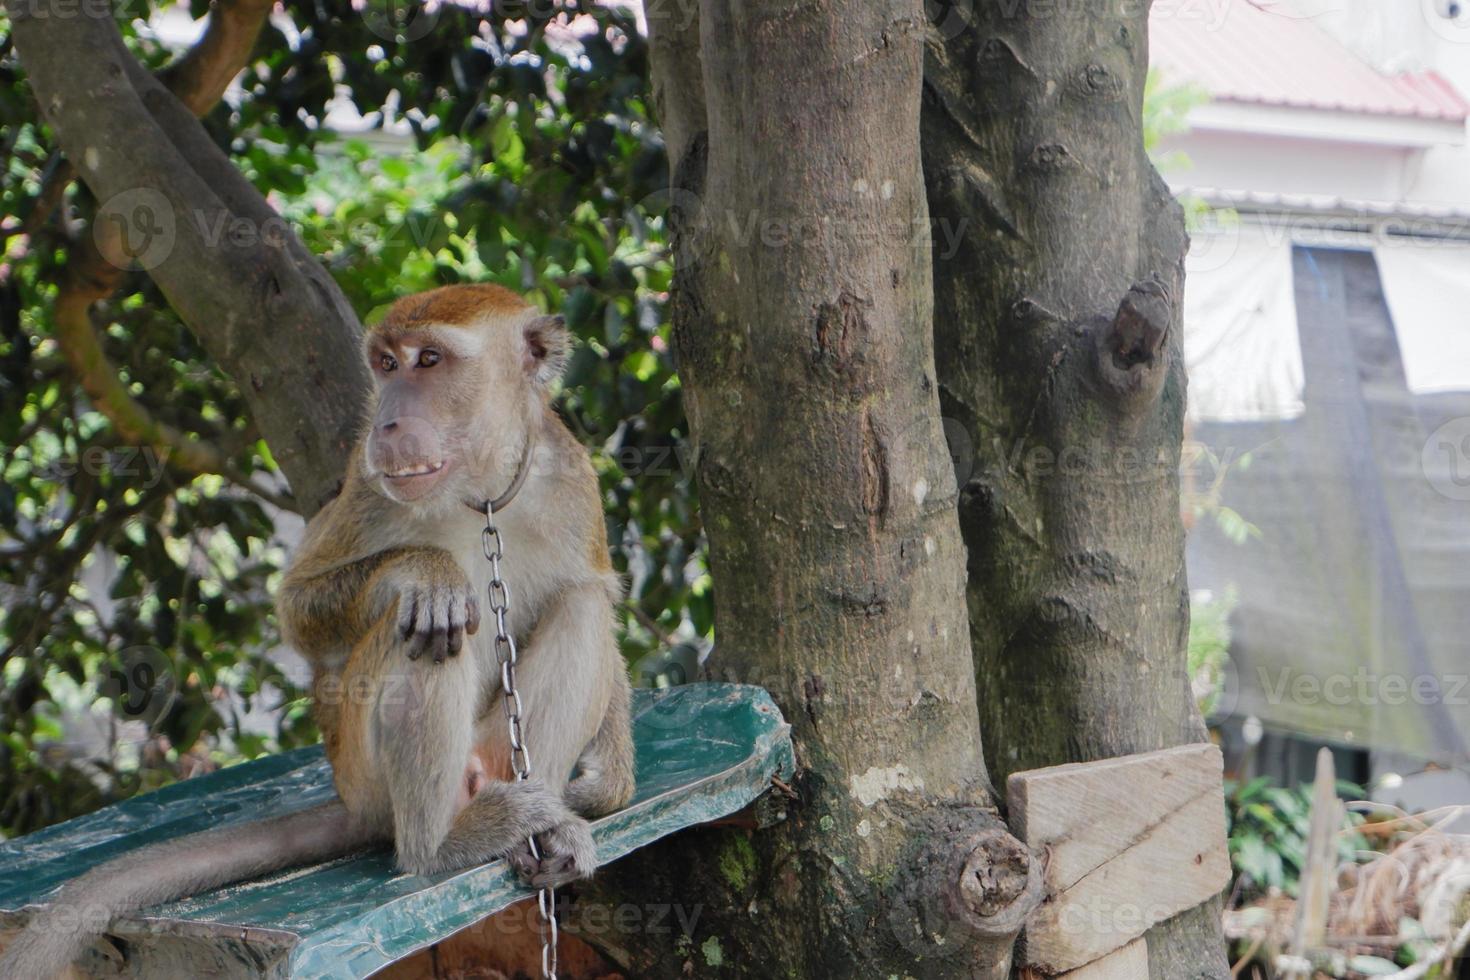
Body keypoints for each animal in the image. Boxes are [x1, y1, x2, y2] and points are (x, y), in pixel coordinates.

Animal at [4, 283, 637, 980]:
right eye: (386, 364)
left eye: (430, 360)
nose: (387, 423)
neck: (482, 492)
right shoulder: (365, 483)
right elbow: (301, 608)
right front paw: (427, 569)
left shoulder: (572, 482)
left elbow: (594, 590)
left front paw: (608, 783)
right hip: (365, 770)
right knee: (427, 630)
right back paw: (441, 844)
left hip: (493, 750)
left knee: (579, 606)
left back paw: (540, 832)